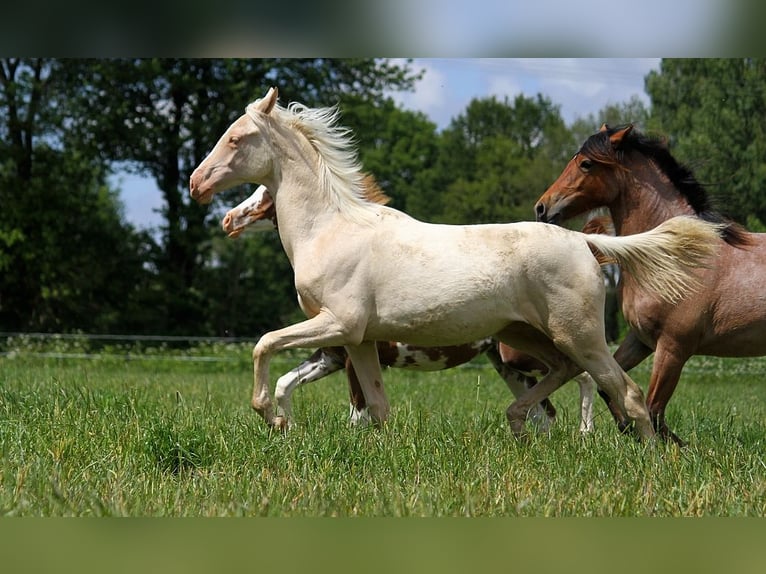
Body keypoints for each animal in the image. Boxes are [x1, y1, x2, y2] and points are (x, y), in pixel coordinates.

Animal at [222, 184, 600, 432]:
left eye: (266, 194)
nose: (229, 220)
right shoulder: (331, 355)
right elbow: (286, 383)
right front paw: (284, 424)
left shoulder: (350, 356)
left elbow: (358, 411)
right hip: (507, 365)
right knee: (544, 407)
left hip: (528, 354)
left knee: (582, 377)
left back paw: (584, 434)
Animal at [536, 124, 760, 444]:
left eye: (586, 164)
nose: (542, 207)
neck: (671, 254)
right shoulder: (640, 339)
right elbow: (610, 389)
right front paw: (628, 429)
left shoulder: (674, 347)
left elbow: (654, 407)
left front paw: (672, 446)